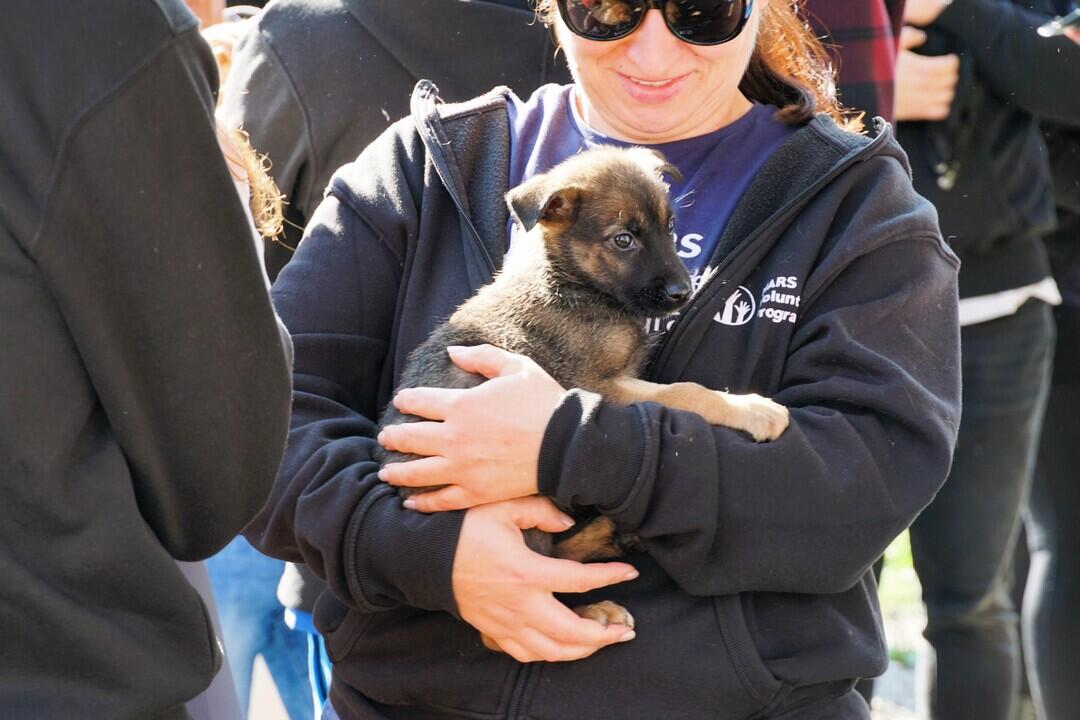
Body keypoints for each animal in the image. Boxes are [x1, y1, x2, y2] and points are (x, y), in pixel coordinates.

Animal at [375, 147, 790, 647]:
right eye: (623, 240)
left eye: (670, 227)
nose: (682, 293)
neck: (573, 284)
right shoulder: (596, 383)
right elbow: (686, 392)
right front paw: (754, 409)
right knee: (517, 607)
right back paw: (592, 608)